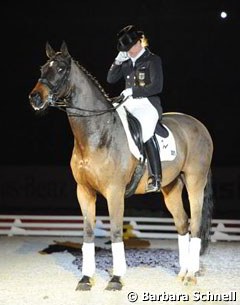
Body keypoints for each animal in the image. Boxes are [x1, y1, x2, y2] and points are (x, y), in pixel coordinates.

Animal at [28, 40, 214, 290]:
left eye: (60, 69)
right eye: (42, 69)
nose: (35, 99)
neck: (96, 133)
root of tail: (199, 126)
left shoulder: (114, 192)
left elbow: (116, 231)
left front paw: (116, 279)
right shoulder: (84, 191)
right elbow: (88, 233)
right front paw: (86, 279)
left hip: (195, 182)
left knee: (195, 225)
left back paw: (191, 275)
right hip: (171, 187)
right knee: (183, 223)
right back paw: (183, 272)